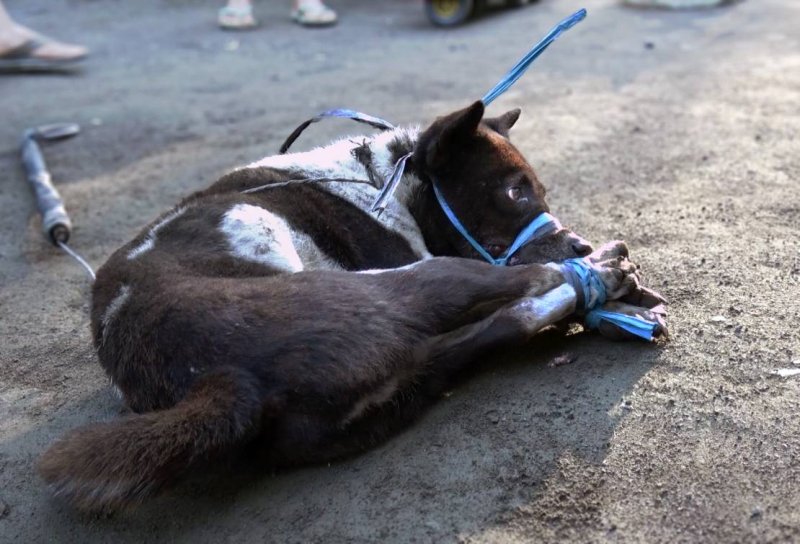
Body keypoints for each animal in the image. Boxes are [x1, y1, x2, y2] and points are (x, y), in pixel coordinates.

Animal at [36, 100, 664, 512]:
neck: (386, 177)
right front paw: (607, 277)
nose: (578, 243)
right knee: (518, 289)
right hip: (410, 285)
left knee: (506, 322)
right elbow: (521, 273)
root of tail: (221, 383)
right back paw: (601, 274)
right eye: (514, 191)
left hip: (407, 375)